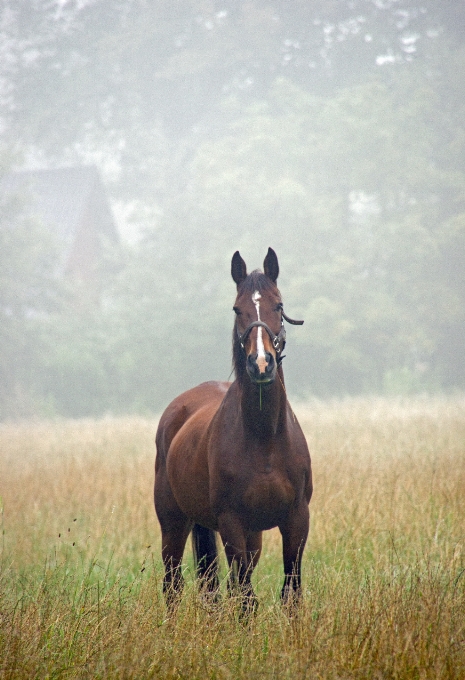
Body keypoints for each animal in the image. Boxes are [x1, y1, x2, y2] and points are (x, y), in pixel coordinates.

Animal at [155, 250, 312, 612]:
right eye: (237, 309)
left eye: (278, 305)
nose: (261, 363)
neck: (265, 439)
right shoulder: (231, 523)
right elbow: (244, 597)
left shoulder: (297, 519)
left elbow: (291, 592)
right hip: (173, 523)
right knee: (174, 584)